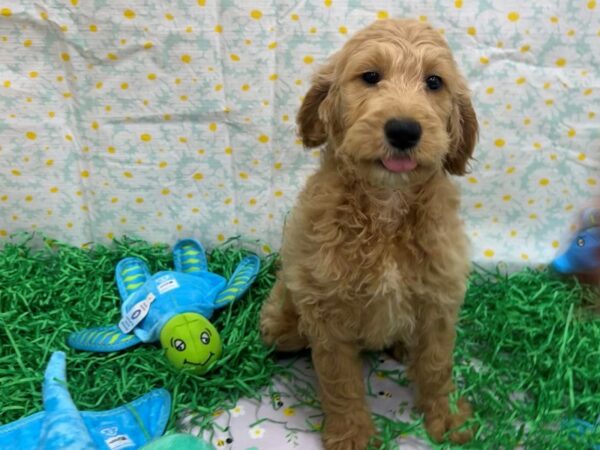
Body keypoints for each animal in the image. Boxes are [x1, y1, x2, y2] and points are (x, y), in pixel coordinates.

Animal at [262, 18, 478, 450]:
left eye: (434, 82)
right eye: (370, 77)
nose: (404, 130)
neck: (386, 208)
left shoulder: (439, 300)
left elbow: (437, 366)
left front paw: (445, 419)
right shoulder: (326, 310)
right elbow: (339, 380)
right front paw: (352, 434)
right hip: (282, 317)